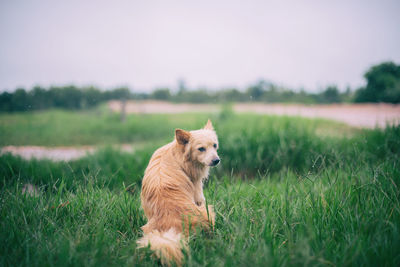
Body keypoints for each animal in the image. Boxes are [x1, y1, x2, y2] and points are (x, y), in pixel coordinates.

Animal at [137, 121, 219, 266]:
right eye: (201, 149)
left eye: (214, 145)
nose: (216, 160)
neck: (178, 154)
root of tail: (172, 227)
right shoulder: (199, 195)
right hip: (208, 211)